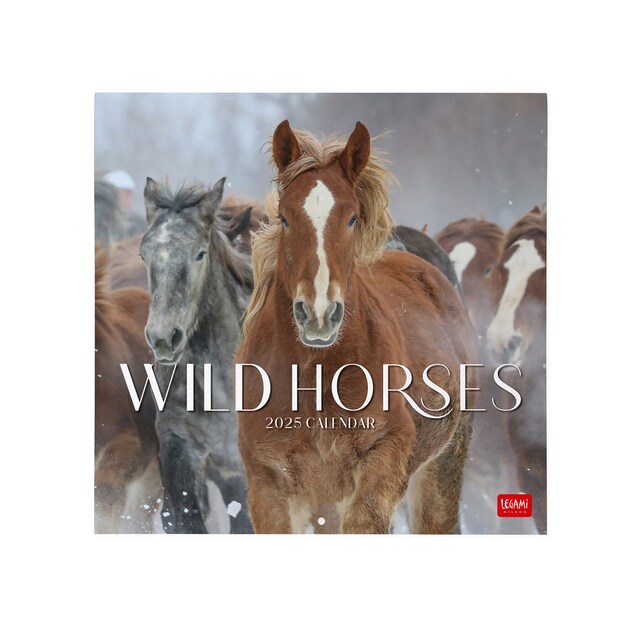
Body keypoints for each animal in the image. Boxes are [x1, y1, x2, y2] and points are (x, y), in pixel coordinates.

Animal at [236, 121, 477, 534]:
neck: (315, 377)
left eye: (351, 218)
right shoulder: (269, 484)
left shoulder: (382, 461)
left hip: (442, 467)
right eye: (284, 218)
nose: (318, 313)